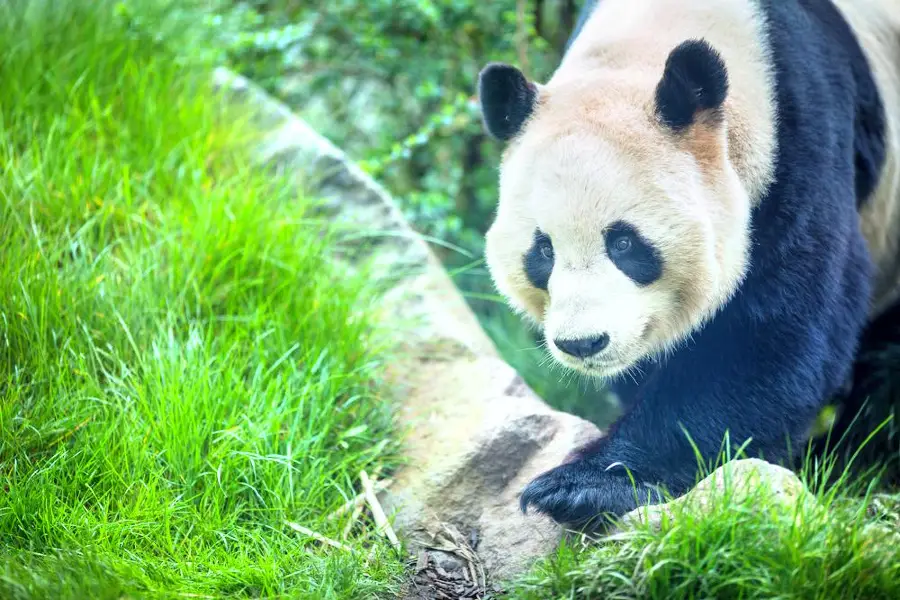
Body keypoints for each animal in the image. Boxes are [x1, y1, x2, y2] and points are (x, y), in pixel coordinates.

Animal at [478, 0, 900, 524]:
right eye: (543, 250)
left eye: (624, 244)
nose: (583, 343)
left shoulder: (803, 136)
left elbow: (767, 336)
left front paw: (583, 485)